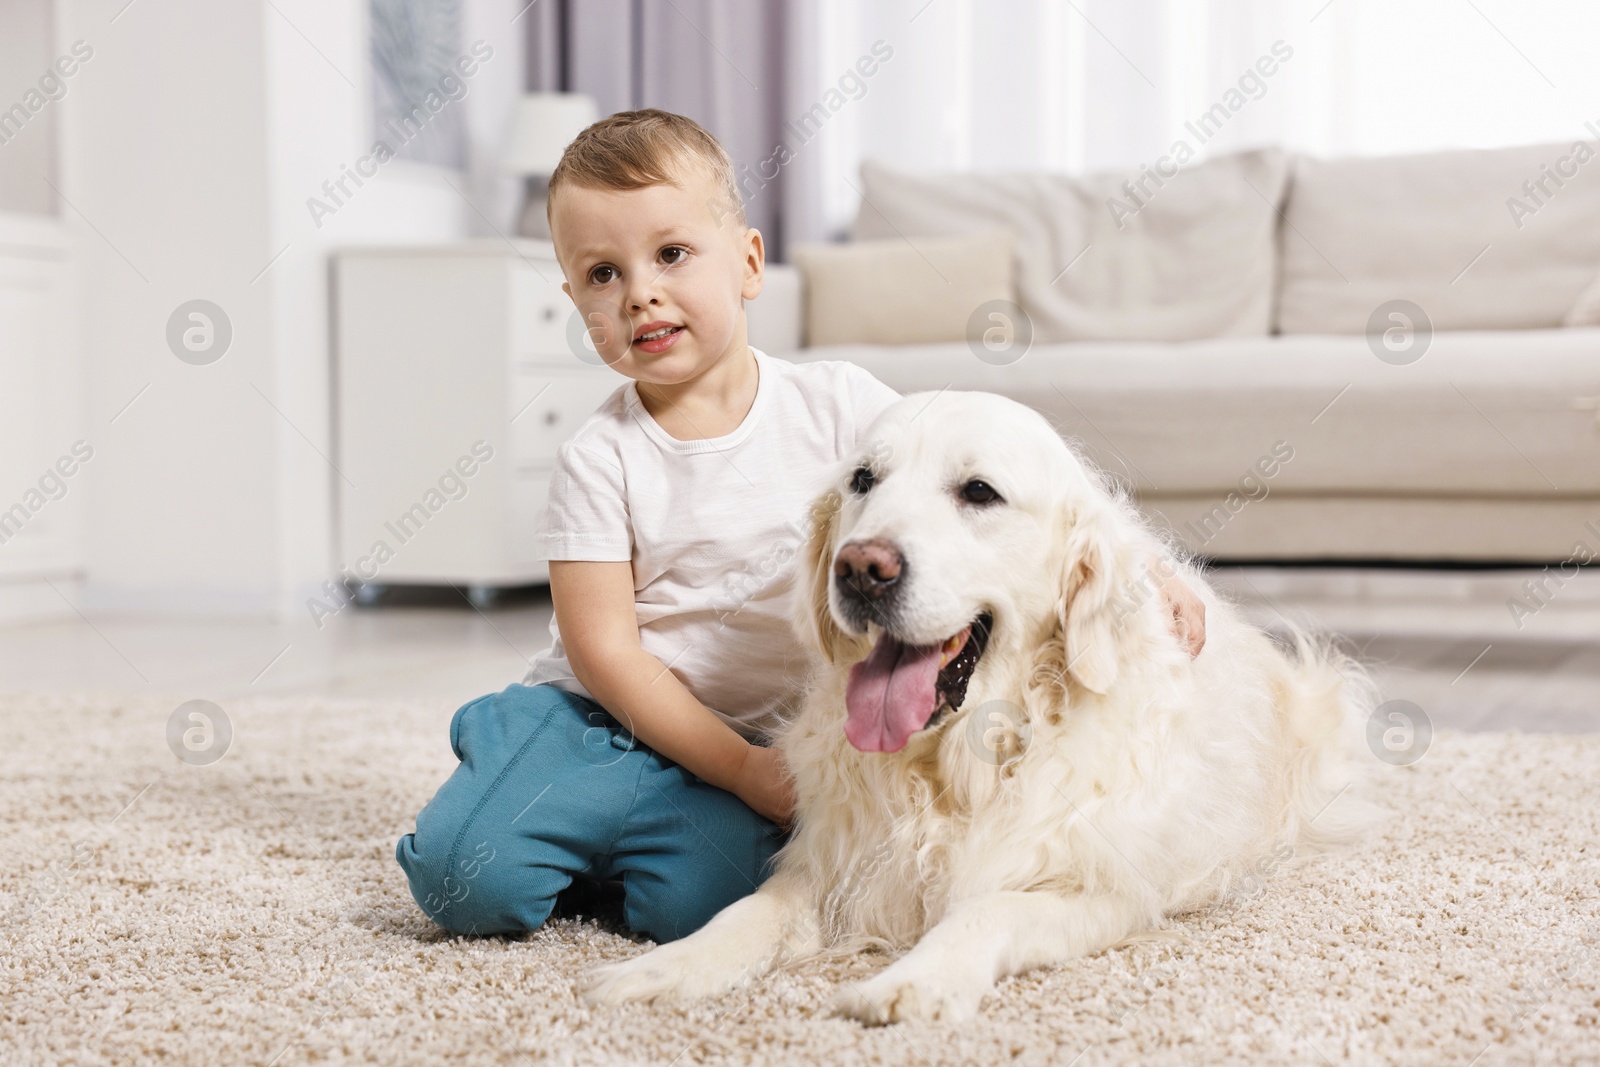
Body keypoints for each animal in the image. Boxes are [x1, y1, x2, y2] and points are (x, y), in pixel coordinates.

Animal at [582, 391, 1382, 1023]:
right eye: (863, 480)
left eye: (978, 492)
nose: (860, 568)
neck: (955, 766)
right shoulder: (833, 866)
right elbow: (746, 913)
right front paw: (659, 969)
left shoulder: (1099, 889)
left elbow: (986, 910)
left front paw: (910, 980)